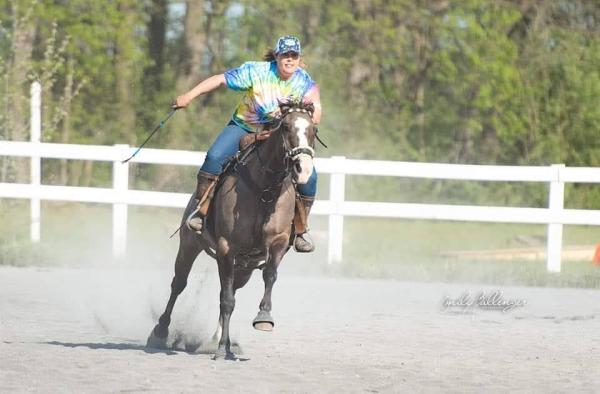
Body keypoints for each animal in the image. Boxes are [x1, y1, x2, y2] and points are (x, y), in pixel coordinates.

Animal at [148, 100, 316, 358]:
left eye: (313, 130)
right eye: (286, 127)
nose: (303, 169)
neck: (264, 189)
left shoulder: (277, 242)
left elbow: (269, 275)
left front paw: (263, 317)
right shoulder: (227, 247)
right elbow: (225, 300)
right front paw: (219, 350)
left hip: (244, 267)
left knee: (230, 290)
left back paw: (220, 341)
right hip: (189, 245)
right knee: (179, 284)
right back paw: (160, 331)